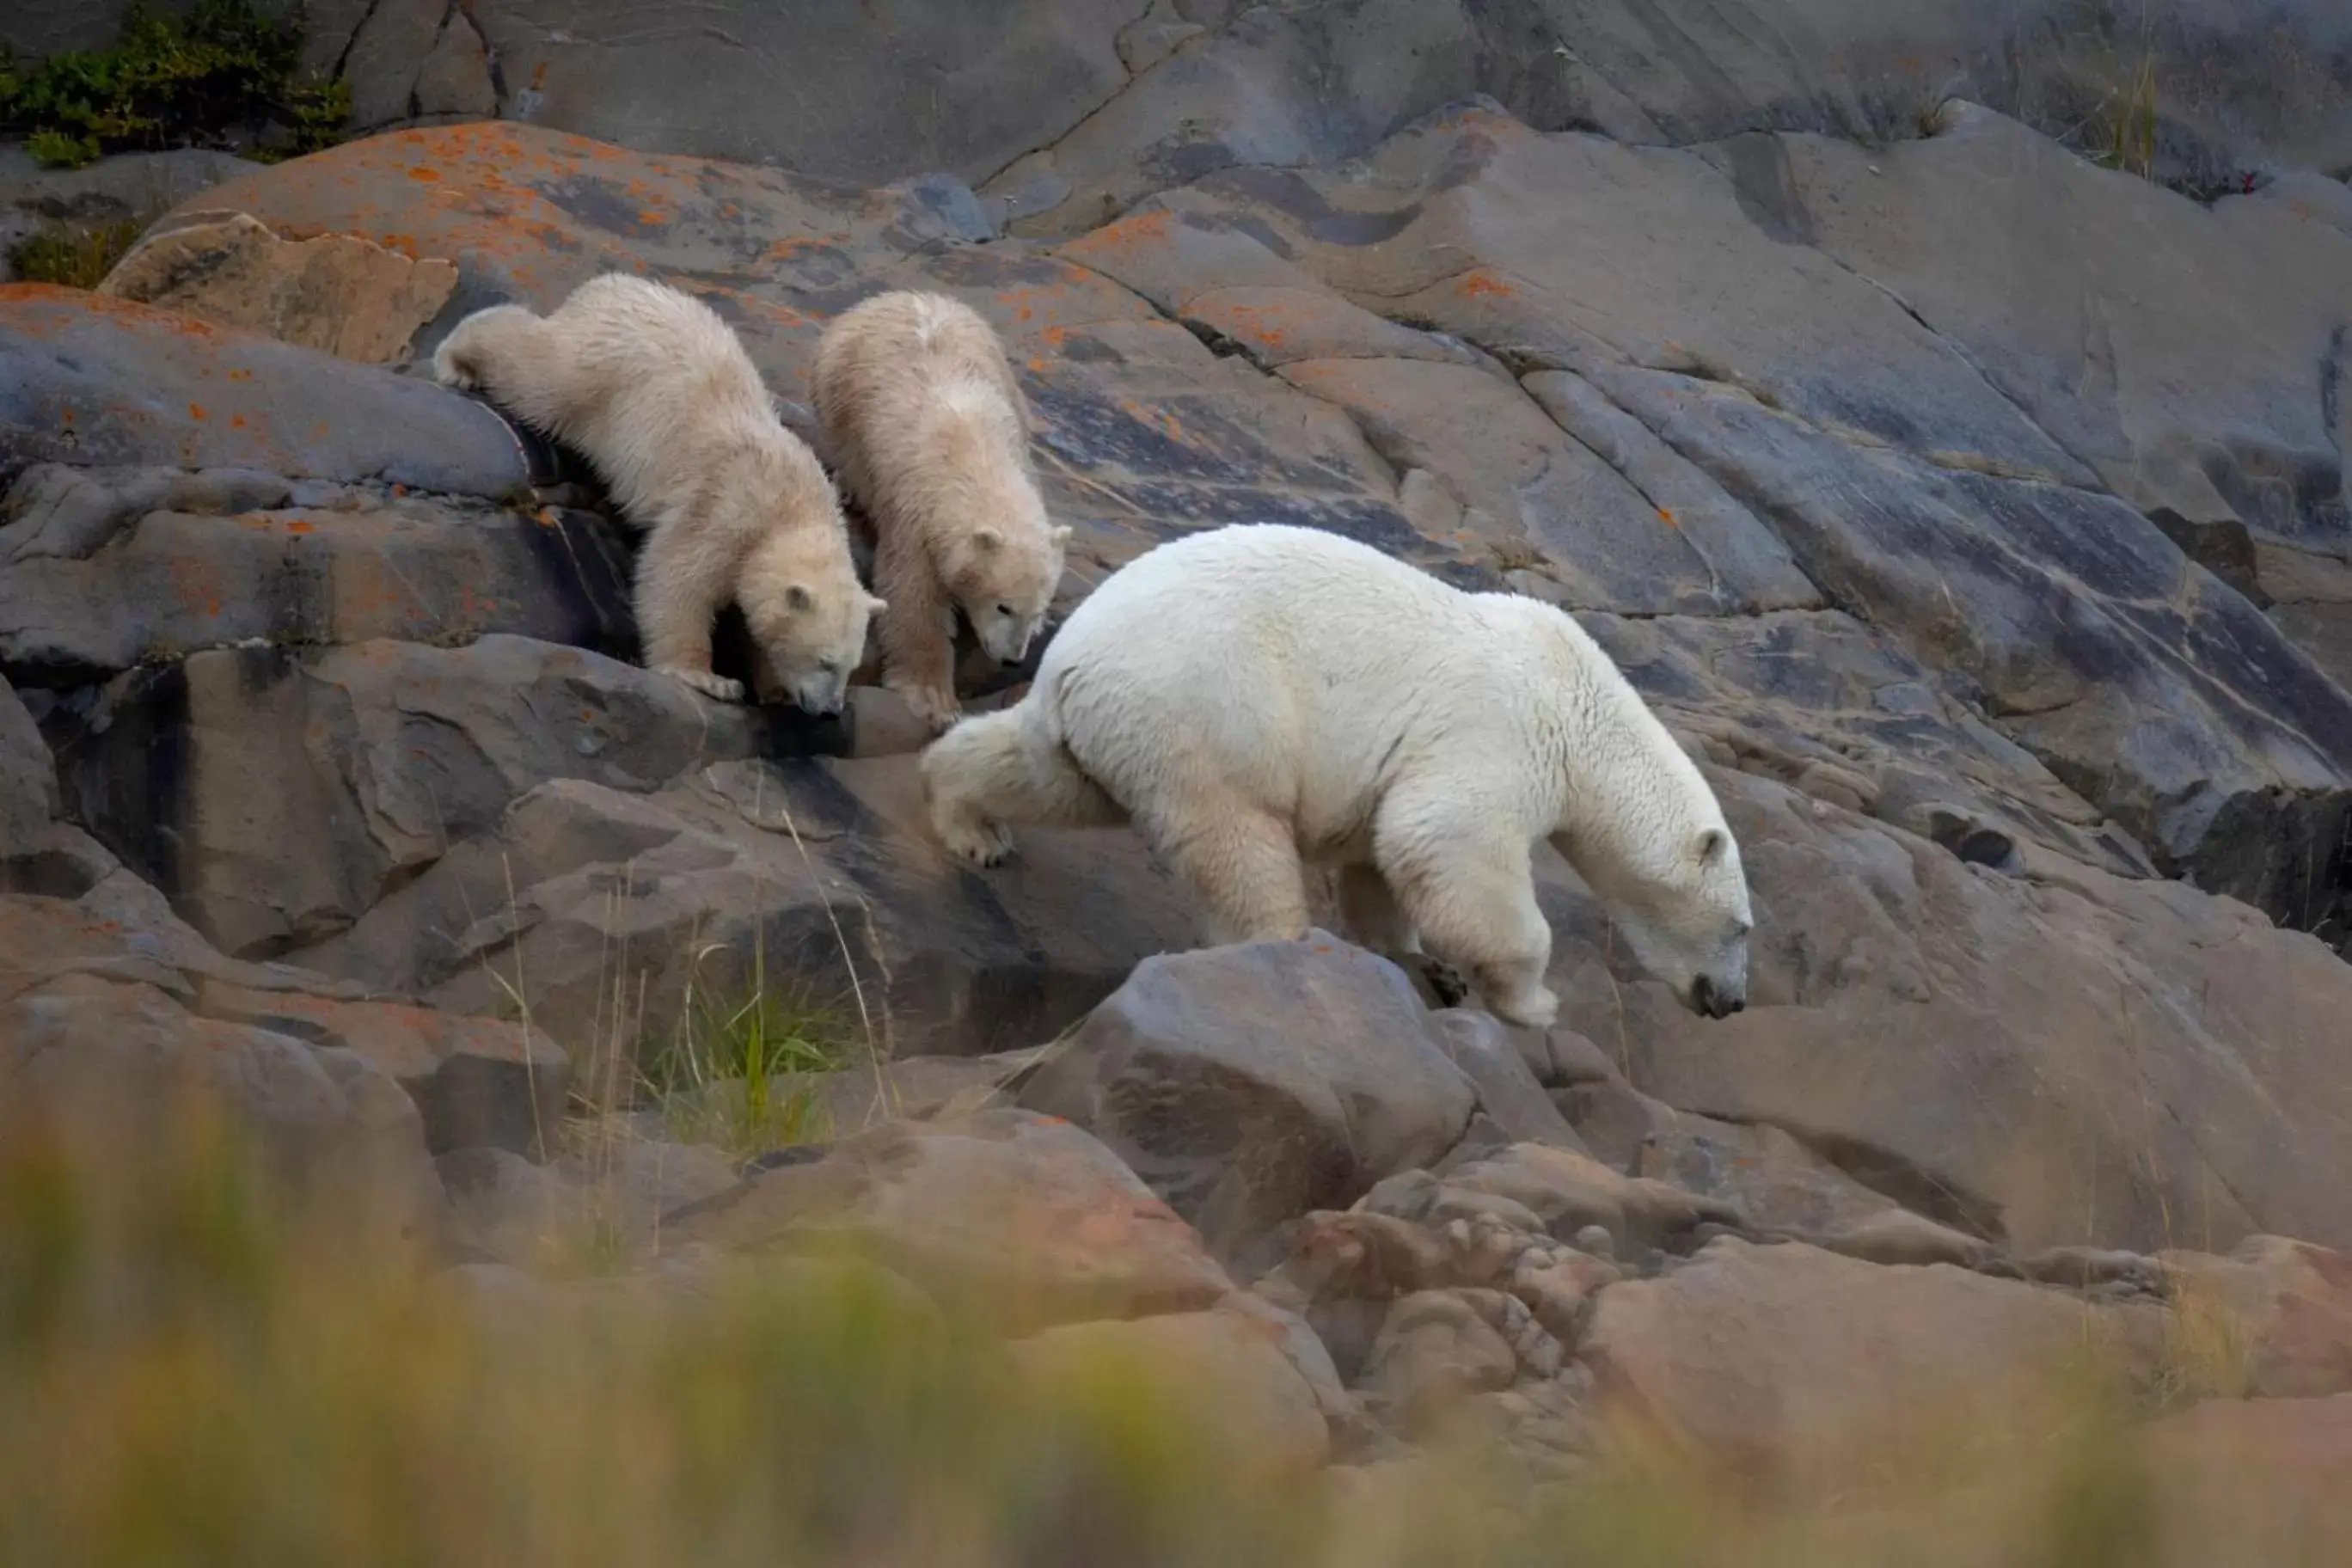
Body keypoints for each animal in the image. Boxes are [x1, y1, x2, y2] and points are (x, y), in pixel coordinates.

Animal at [435, 273, 884, 709]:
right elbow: (675, 577)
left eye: (850, 667)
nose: (830, 710)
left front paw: (773, 687)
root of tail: (604, 287)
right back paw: (456, 360)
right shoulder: (725, 509)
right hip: (593, 375)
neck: (793, 506)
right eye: (825, 661)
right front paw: (709, 679)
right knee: (535, 371)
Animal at [809, 291, 1068, 733]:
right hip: (836, 381)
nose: (1011, 659)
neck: (975, 456)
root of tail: (902, 296)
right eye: (1003, 605)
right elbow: (913, 599)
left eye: (1036, 607)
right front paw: (934, 700)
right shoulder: (917, 521)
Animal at [926, 522, 1759, 1025]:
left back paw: (969, 824)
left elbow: (1385, 855)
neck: (1584, 706)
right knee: (1239, 843)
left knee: (1046, 777)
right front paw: (1534, 1003)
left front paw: (1424, 963)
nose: (1733, 1002)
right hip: (1210, 709)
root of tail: (1076, 655)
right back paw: (1282, 950)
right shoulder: (1499, 729)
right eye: (1740, 926)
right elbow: (1447, 839)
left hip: (1107, 722)